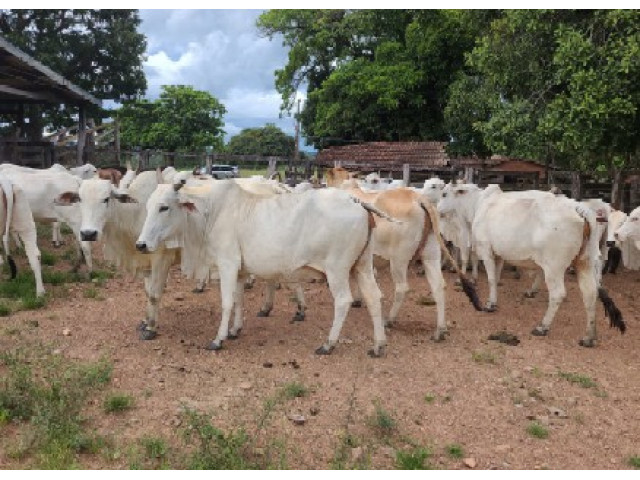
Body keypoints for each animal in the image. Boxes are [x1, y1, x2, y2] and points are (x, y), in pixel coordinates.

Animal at [135, 180, 389, 356]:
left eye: (164, 207)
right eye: (148, 206)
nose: (141, 245)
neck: (210, 212)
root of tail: (357, 203)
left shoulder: (227, 263)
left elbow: (227, 302)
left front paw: (218, 339)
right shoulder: (240, 271)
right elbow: (239, 300)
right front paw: (235, 330)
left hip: (337, 269)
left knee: (344, 300)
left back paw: (329, 344)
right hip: (362, 265)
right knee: (373, 297)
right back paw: (378, 345)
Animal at [437, 183, 625, 346]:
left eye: (444, 194)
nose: (437, 210)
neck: (478, 204)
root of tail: (578, 208)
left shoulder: (486, 250)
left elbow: (490, 278)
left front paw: (490, 304)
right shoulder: (499, 254)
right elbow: (496, 277)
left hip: (554, 266)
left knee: (558, 294)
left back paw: (543, 326)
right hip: (584, 262)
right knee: (590, 294)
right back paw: (589, 337)